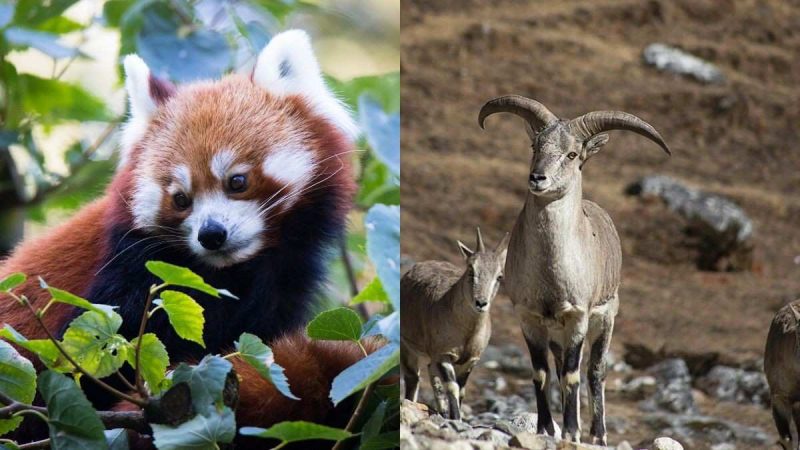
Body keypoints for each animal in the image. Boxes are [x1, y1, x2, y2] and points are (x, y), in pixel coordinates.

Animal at [401, 228, 509, 420]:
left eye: (499, 276)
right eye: (471, 270)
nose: (481, 303)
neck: (467, 333)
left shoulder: (470, 361)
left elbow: (462, 390)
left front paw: (454, 417)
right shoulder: (444, 354)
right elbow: (453, 387)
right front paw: (456, 418)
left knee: (430, 371)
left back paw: (442, 411)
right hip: (407, 346)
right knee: (413, 377)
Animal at [479, 95, 670, 444]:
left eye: (572, 154)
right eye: (535, 145)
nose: (537, 178)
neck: (549, 275)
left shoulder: (578, 316)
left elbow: (572, 375)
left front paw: (570, 431)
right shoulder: (529, 317)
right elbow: (540, 373)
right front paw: (545, 427)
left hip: (605, 318)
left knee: (594, 371)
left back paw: (597, 434)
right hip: (557, 333)